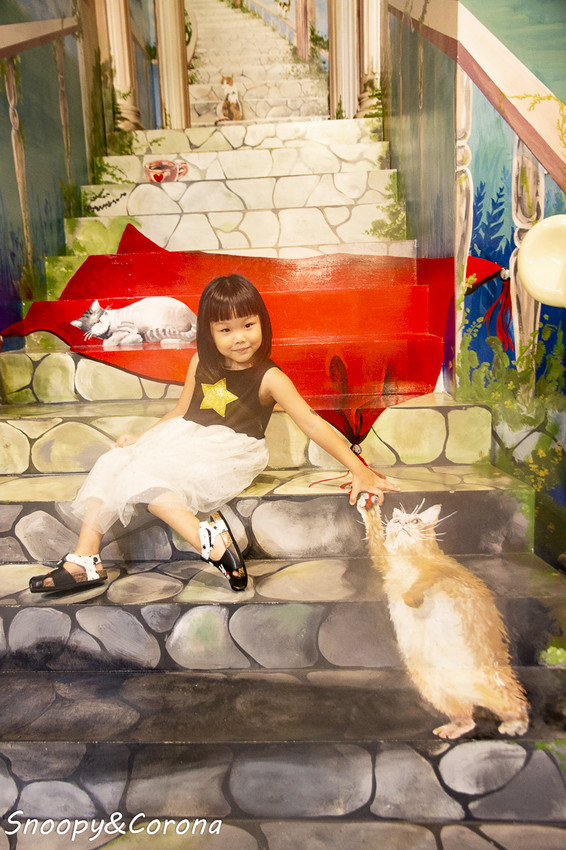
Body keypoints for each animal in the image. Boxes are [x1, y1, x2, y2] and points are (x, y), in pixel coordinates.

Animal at [357, 494, 529, 739]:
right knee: (466, 717)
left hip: (490, 681)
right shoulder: (385, 561)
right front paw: (367, 506)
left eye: (416, 521)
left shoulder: (444, 572)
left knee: (515, 701)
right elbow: (375, 534)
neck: (406, 559)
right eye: (396, 521)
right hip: (434, 687)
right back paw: (454, 727)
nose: (402, 523)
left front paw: (412, 596)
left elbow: (427, 577)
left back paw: (516, 724)